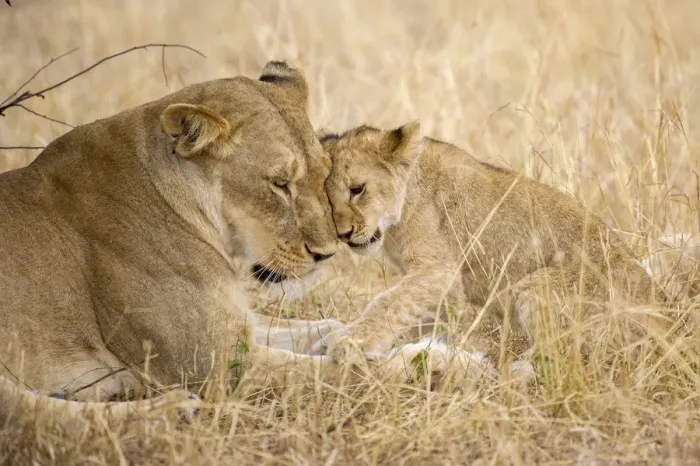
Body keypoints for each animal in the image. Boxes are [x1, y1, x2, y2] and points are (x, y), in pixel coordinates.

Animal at [0, 61, 354, 422]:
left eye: (325, 173)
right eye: (280, 184)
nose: (327, 253)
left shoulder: (238, 325)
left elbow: (318, 326)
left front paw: (353, 338)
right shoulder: (212, 364)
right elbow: (328, 371)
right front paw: (367, 360)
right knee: (41, 414)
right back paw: (173, 409)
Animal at [318, 121, 672, 368]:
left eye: (357, 189)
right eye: (327, 198)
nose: (344, 234)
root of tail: (670, 316)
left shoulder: (439, 271)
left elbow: (388, 302)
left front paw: (348, 343)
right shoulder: (441, 288)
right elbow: (410, 312)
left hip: (537, 287)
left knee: (563, 357)